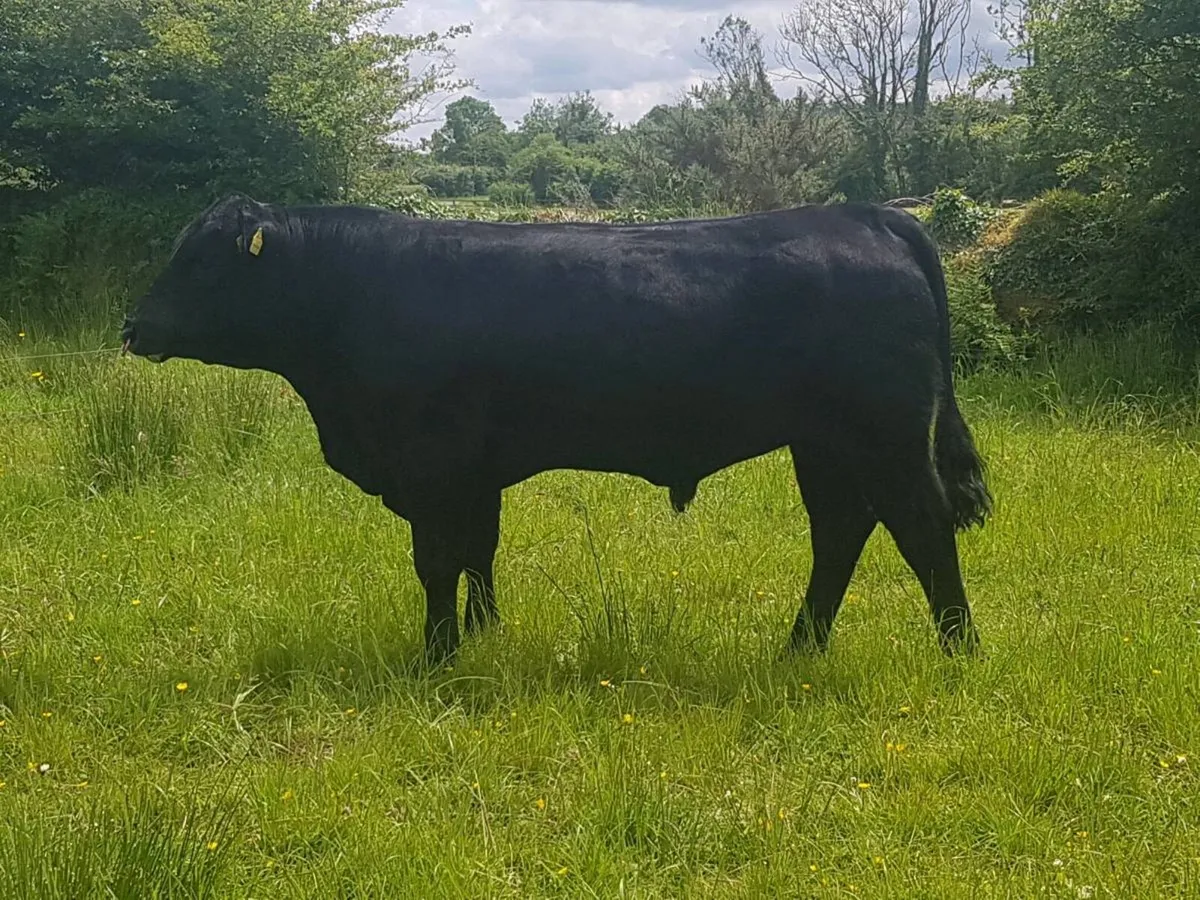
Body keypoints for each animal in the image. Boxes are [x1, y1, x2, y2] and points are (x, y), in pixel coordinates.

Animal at [122, 194, 993, 663]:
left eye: (201, 261)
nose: (134, 325)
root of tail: (862, 213)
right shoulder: (474, 470)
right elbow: (478, 552)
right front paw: (483, 635)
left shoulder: (432, 463)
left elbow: (435, 563)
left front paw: (436, 657)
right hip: (824, 444)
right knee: (842, 531)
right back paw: (799, 647)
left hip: (883, 436)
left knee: (921, 527)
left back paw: (959, 650)